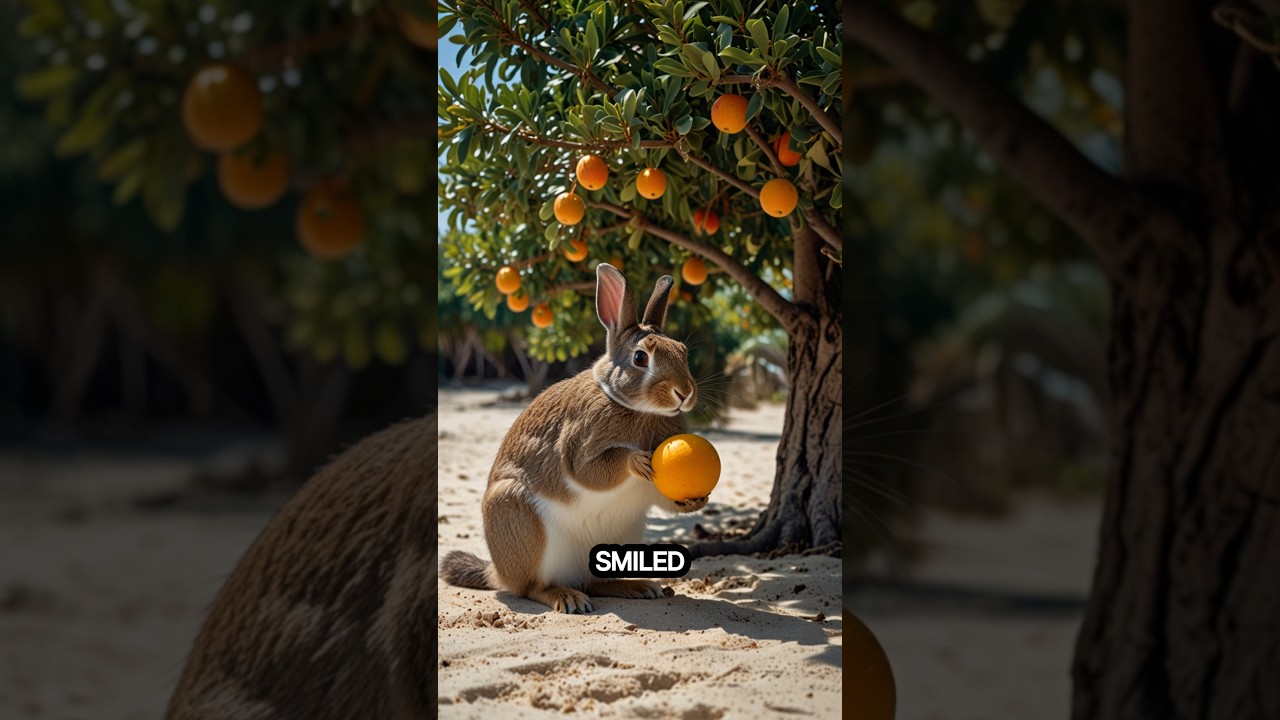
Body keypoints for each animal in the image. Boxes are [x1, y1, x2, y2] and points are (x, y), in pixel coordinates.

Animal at [442, 263, 708, 614]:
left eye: (683, 352)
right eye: (640, 358)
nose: (684, 393)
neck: (635, 406)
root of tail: (497, 572)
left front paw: (698, 499)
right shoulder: (580, 444)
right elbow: (591, 470)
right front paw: (637, 460)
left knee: (595, 582)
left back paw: (637, 587)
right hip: (518, 516)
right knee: (531, 587)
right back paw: (567, 598)